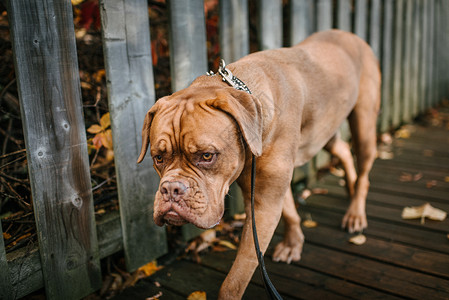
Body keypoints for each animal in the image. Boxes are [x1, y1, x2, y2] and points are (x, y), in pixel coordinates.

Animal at [136, 29, 378, 298]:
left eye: (207, 156)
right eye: (158, 158)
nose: (171, 189)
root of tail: (350, 35)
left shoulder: (263, 204)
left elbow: (235, 279)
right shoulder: (265, 189)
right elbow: (289, 210)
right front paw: (294, 243)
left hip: (363, 125)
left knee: (364, 170)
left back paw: (355, 212)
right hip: (323, 132)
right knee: (343, 150)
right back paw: (350, 186)